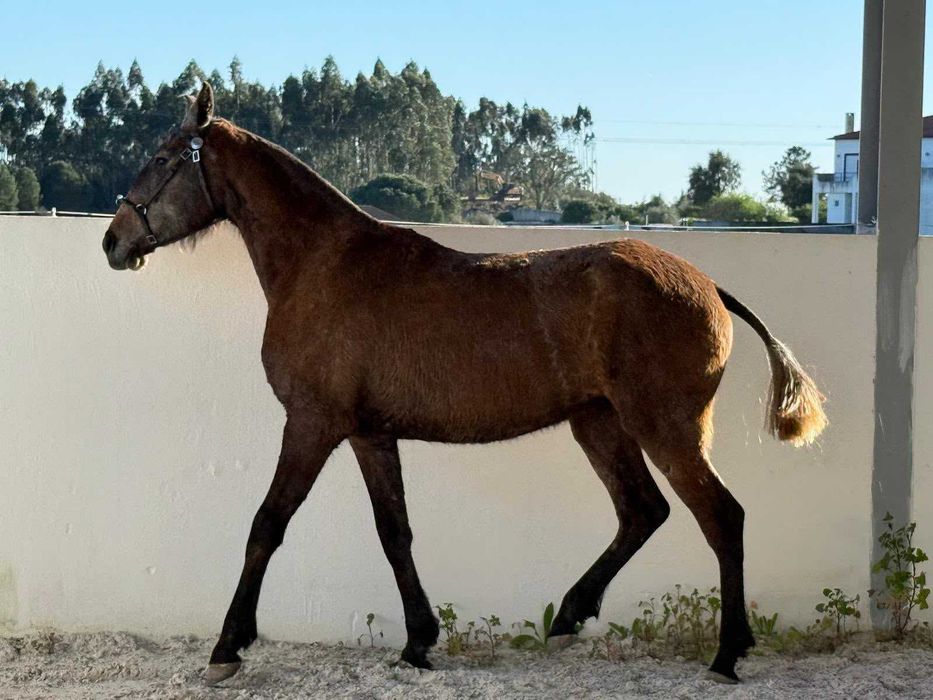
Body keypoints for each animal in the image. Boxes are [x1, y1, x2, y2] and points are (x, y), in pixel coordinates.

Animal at [102, 83, 826, 685]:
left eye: (163, 159)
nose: (113, 241)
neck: (322, 264)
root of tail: (706, 285)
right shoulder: (369, 434)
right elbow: (394, 532)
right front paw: (418, 641)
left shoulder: (312, 423)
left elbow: (267, 523)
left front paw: (227, 647)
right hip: (598, 422)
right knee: (641, 510)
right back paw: (571, 615)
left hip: (664, 426)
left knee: (719, 516)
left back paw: (727, 653)